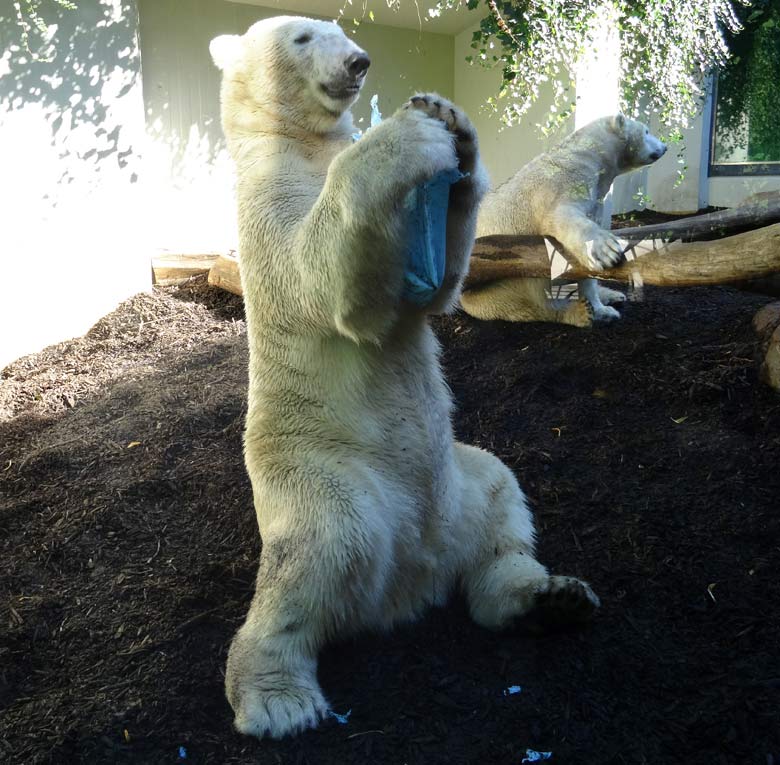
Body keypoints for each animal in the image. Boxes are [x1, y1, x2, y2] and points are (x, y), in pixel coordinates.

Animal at [210, 16, 600, 740]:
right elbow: (325, 280)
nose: (359, 62)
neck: (298, 142)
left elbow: (436, 292)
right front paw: (406, 138)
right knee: (320, 548)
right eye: (304, 36)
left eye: (337, 29)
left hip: (459, 479)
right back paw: (280, 697)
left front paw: (455, 127)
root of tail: (413, 579)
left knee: (500, 500)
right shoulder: (266, 202)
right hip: (324, 473)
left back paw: (547, 598)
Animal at [460, 114, 668, 326]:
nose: (665, 146)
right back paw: (579, 312)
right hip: (497, 287)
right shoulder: (560, 184)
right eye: (646, 131)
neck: (588, 155)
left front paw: (603, 309)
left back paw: (611, 295)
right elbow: (561, 216)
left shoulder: (596, 198)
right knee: (532, 304)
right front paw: (605, 251)